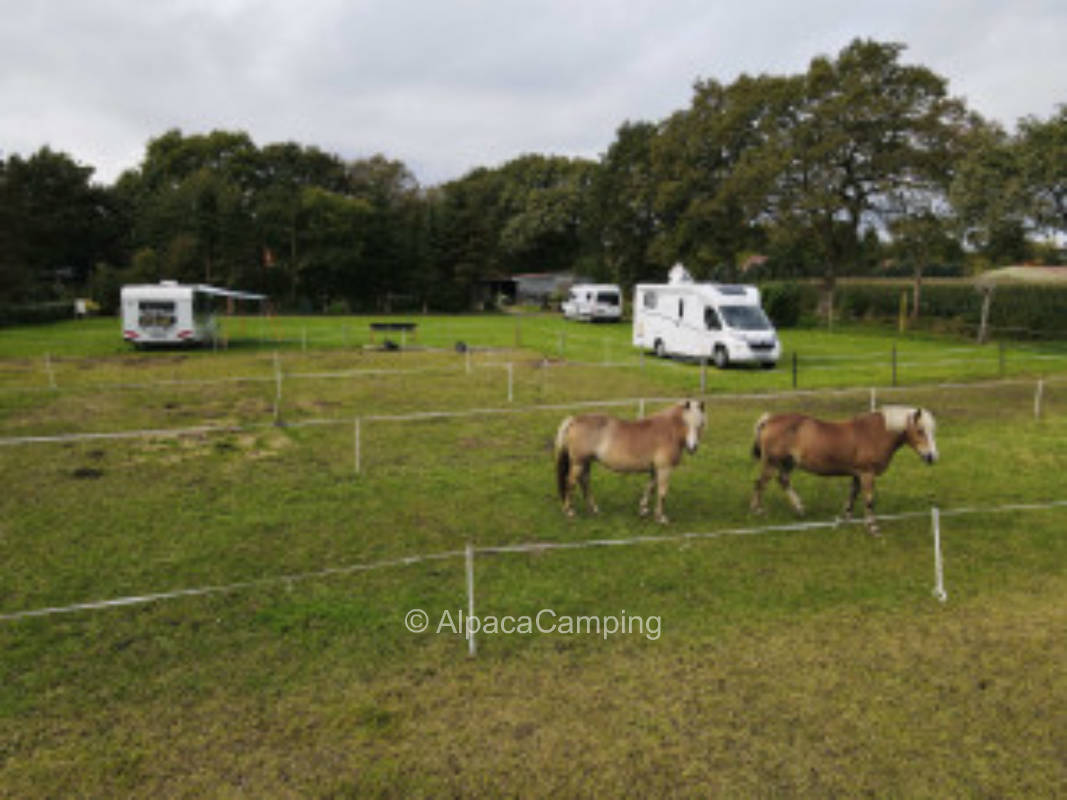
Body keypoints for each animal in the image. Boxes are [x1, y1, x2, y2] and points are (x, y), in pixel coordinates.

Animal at [555, 400, 706, 524]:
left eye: (700, 424)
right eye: (685, 423)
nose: (693, 447)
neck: (668, 431)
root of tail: (574, 420)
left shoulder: (655, 469)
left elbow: (650, 488)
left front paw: (643, 509)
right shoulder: (664, 469)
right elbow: (662, 493)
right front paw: (661, 517)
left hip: (585, 463)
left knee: (584, 482)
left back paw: (594, 509)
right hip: (579, 463)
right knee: (571, 483)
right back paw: (569, 511)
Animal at [750, 406, 939, 535]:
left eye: (932, 431)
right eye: (920, 430)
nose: (932, 457)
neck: (876, 433)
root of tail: (768, 420)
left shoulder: (857, 474)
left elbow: (853, 494)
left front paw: (847, 518)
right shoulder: (867, 474)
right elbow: (869, 500)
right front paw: (873, 527)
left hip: (787, 463)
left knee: (783, 481)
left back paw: (799, 508)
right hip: (772, 462)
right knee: (760, 483)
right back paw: (758, 510)